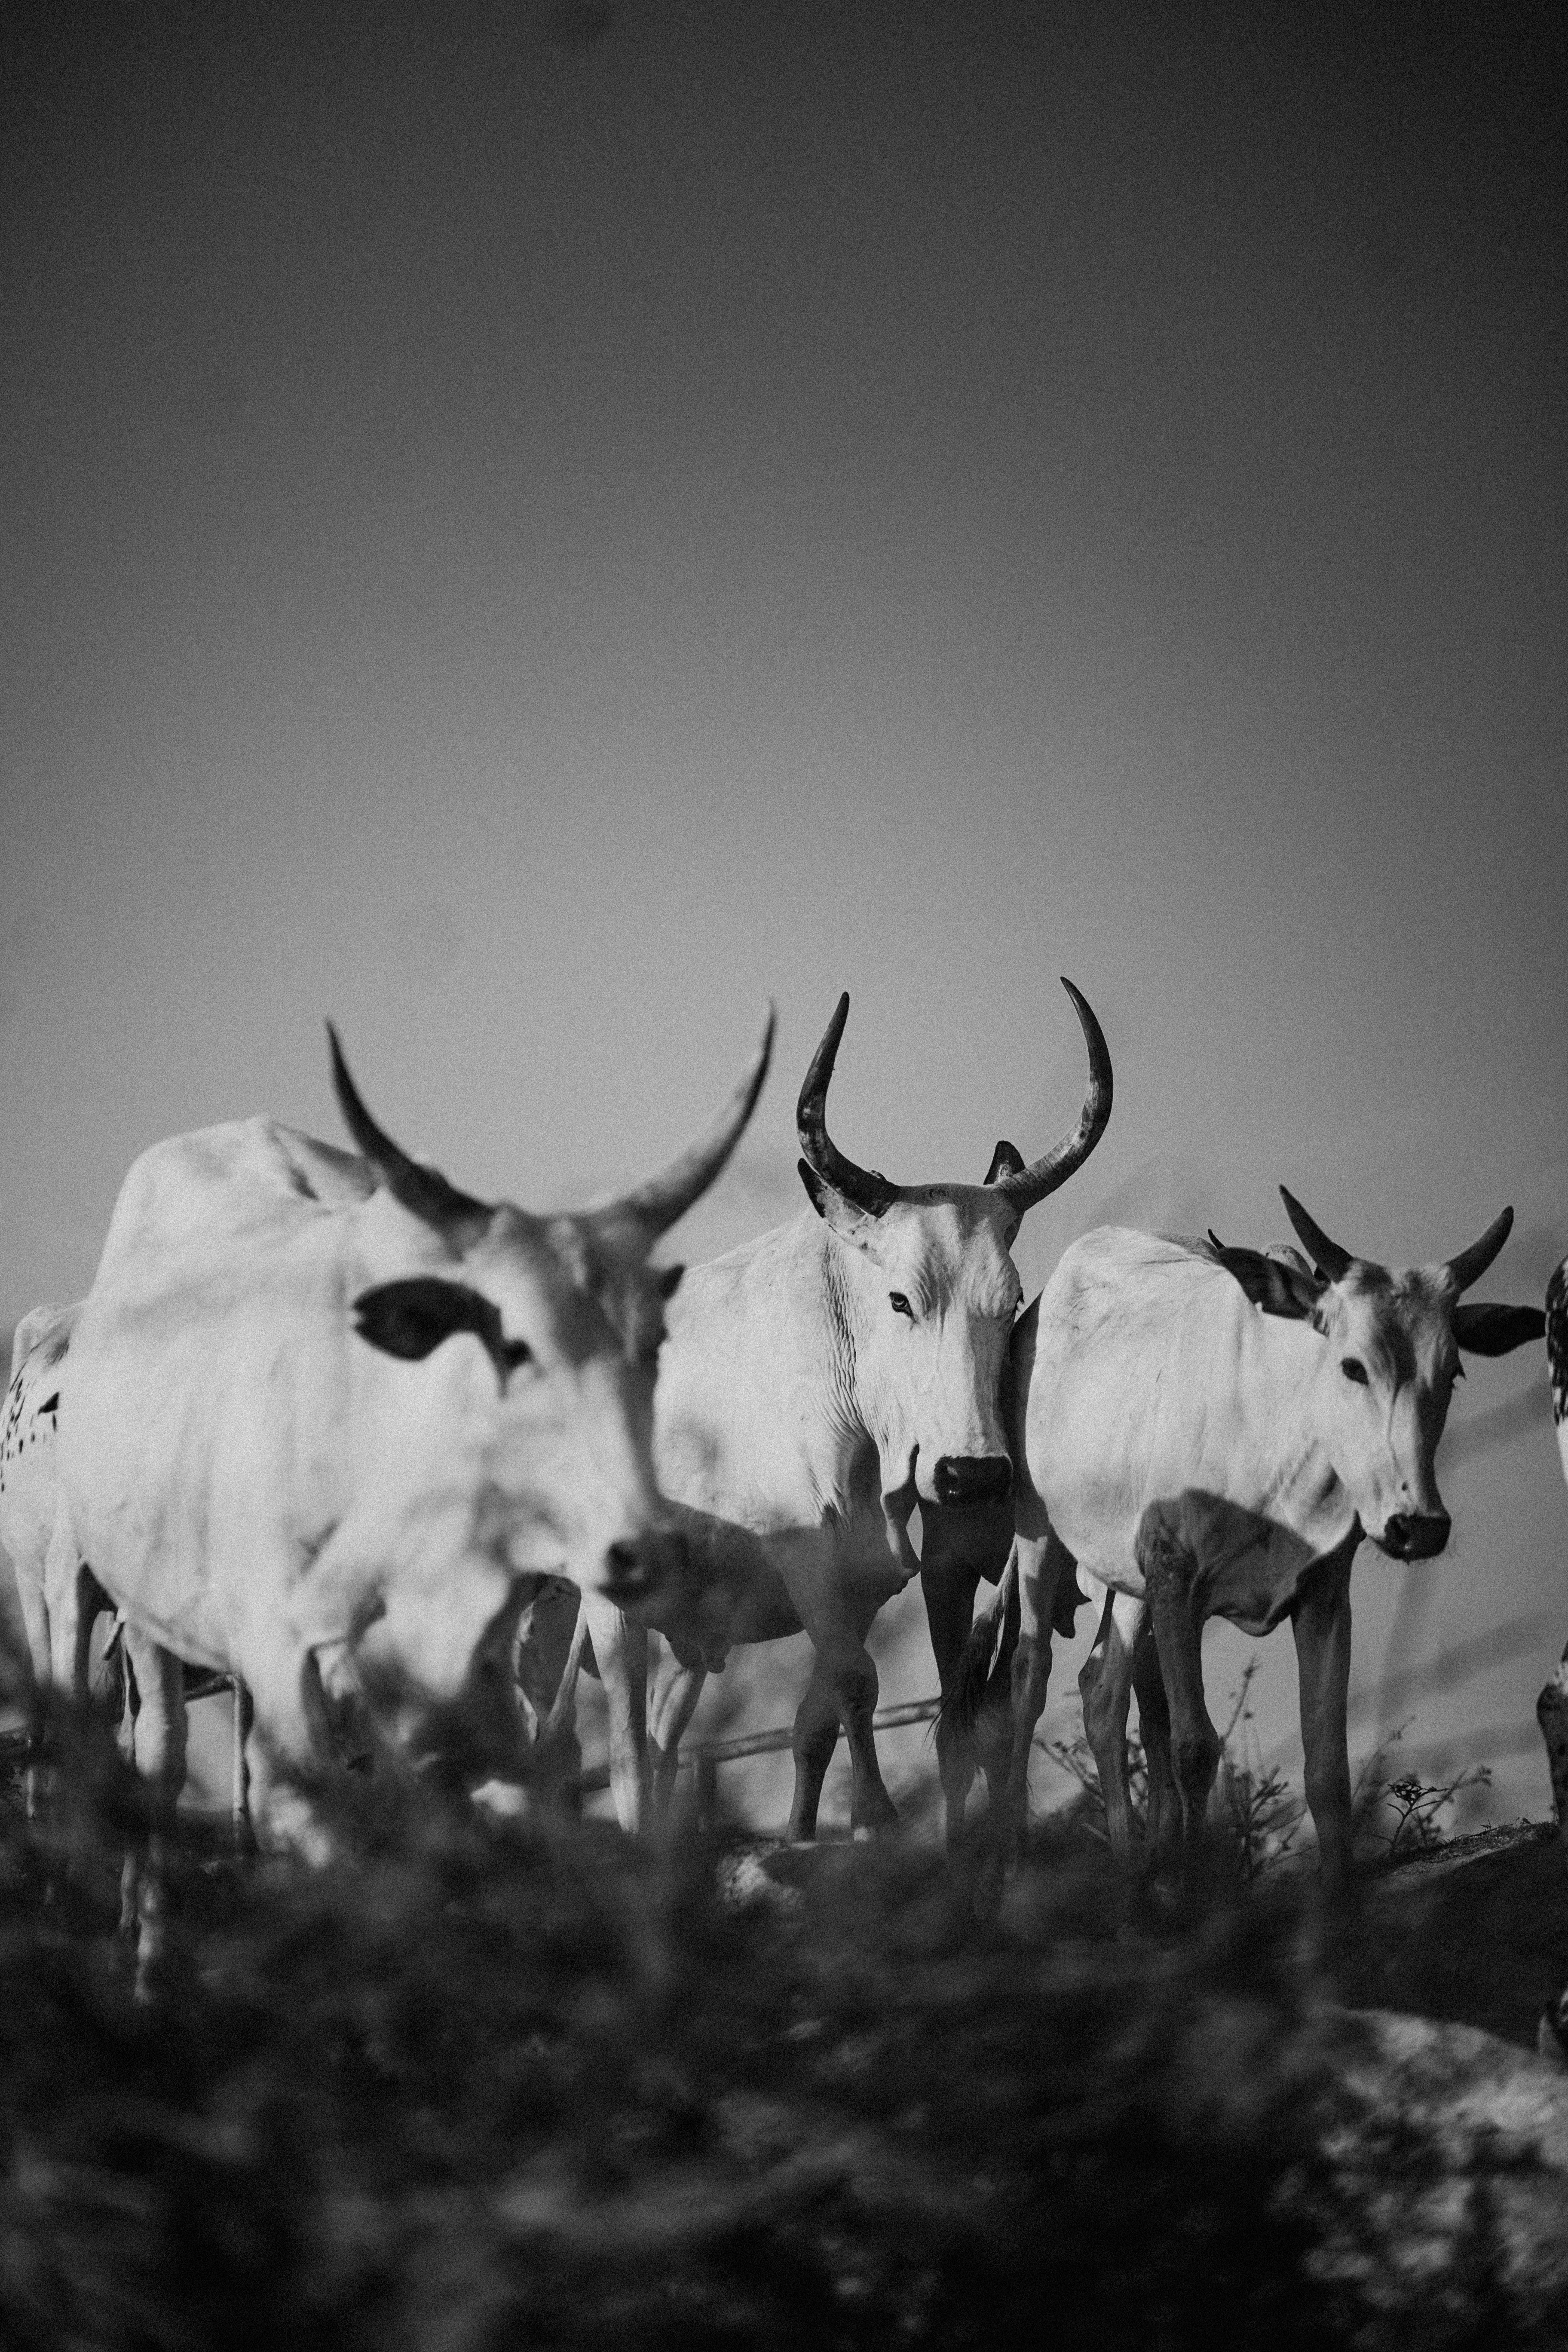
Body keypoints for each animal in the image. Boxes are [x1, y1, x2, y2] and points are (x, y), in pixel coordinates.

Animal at [47, 1013, 772, 1878]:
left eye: (654, 1342)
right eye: (512, 1343)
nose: (642, 1551)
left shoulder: (475, 1698)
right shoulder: (286, 1676)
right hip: (147, 1622)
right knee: (160, 1757)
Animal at [522, 979, 1112, 1838]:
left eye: (1009, 1302)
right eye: (900, 1297)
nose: (969, 1475)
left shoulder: (863, 1583)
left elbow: (817, 1723)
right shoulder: (810, 1566)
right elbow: (855, 1687)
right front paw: (875, 1819)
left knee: (640, 1744)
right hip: (596, 1605)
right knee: (618, 1748)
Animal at [945, 1190, 1545, 1886]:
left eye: (1452, 1373)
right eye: (1352, 1366)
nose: (1417, 1525)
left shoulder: (1322, 1597)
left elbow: (1327, 1768)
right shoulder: (1176, 1582)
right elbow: (1192, 1747)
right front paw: (1190, 1890)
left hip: (1127, 1579)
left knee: (1102, 1692)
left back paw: (1131, 1876)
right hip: (1039, 1530)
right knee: (1029, 1670)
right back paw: (1015, 1864)